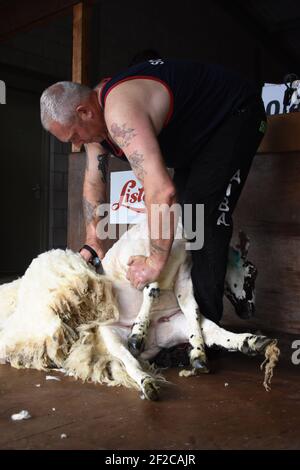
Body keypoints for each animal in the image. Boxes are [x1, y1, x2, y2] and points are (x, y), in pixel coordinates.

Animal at [0, 220, 278, 400]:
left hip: (173, 324)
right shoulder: (134, 262)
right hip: (112, 337)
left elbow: (191, 308)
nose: (250, 312)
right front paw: (138, 331)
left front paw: (198, 351)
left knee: (213, 330)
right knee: (130, 361)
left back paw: (249, 343)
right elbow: (151, 287)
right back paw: (147, 379)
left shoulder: (184, 277)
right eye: (252, 272)